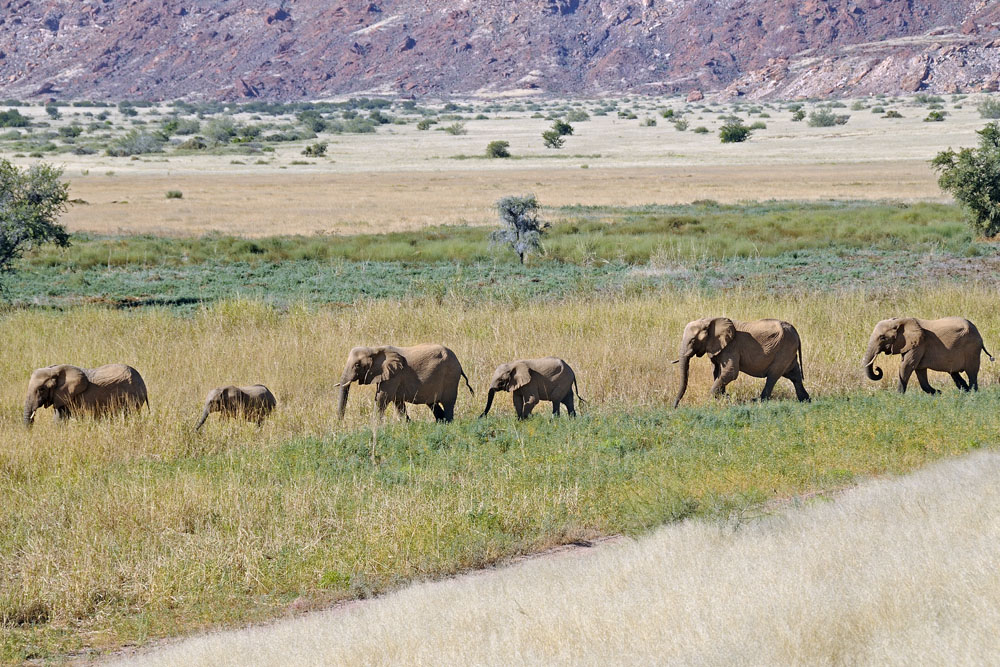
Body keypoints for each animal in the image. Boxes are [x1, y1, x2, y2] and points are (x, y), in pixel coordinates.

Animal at [336, 344, 473, 422]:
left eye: (357, 365)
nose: (340, 423)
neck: (374, 349)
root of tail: (459, 363)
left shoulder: (394, 375)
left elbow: (383, 397)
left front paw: (374, 425)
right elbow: (397, 401)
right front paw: (407, 424)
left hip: (451, 376)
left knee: (448, 402)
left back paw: (448, 423)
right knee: (433, 404)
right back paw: (440, 422)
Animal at [673, 317, 809, 407]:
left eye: (692, 340)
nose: (674, 407)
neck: (709, 320)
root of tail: (795, 330)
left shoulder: (732, 346)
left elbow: (730, 373)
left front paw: (710, 401)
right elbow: (717, 372)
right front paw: (723, 399)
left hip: (784, 349)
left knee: (773, 376)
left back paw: (759, 401)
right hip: (788, 351)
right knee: (794, 375)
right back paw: (806, 401)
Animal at [862, 317, 994, 393]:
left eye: (882, 337)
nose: (877, 368)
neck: (900, 321)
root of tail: (979, 334)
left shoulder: (919, 344)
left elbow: (907, 366)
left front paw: (898, 396)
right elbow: (919, 370)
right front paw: (938, 393)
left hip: (972, 349)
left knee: (971, 372)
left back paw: (972, 394)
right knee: (954, 373)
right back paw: (964, 391)